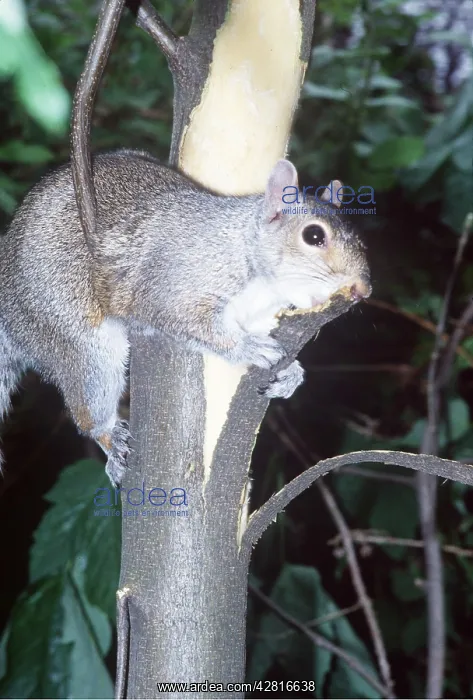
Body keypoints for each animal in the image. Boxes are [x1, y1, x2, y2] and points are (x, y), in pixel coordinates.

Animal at [0, 151, 371, 486]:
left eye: (360, 237)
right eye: (313, 236)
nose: (363, 289)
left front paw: (291, 372)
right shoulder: (175, 284)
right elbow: (191, 321)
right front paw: (249, 348)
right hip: (79, 338)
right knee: (89, 407)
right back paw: (110, 439)